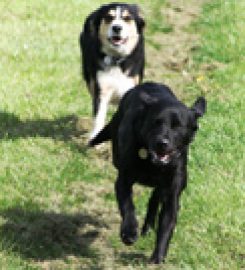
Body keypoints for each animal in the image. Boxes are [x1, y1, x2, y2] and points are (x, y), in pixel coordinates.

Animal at [79, 2, 145, 141]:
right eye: (109, 17)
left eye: (127, 18)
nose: (117, 28)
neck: (116, 59)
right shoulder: (101, 88)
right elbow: (99, 116)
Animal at [89, 82, 206, 264]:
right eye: (156, 122)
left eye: (177, 126)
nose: (162, 143)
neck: (152, 163)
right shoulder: (123, 181)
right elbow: (128, 207)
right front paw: (129, 233)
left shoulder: (172, 195)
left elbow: (166, 226)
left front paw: (157, 257)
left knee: (155, 197)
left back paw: (148, 227)